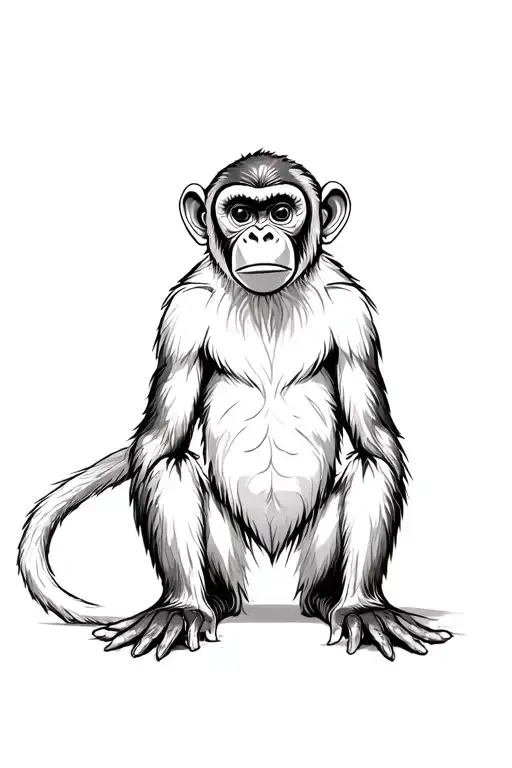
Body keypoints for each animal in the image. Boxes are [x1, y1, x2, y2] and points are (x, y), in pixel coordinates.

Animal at [18, 150, 452, 661]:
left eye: (281, 212)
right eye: (241, 213)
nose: (261, 235)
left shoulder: (354, 315)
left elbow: (375, 446)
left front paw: (365, 608)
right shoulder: (182, 315)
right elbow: (163, 445)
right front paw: (179, 609)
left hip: (316, 557)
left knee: (361, 472)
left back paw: (334, 601)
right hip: (225, 559)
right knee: (177, 468)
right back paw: (202, 603)